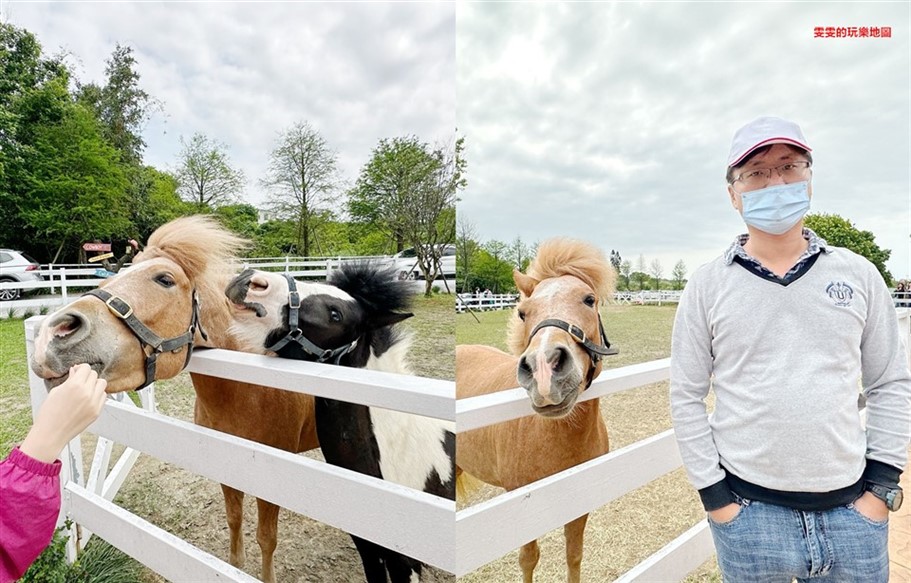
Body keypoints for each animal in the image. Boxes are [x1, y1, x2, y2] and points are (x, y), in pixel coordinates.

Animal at [28, 218, 318, 583]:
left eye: (164, 279)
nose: (54, 333)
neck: (250, 393)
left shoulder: (271, 484)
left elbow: (267, 539)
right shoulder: (228, 471)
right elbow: (234, 522)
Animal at [456, 237, 620, 583]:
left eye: (589, 300)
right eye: (522, 312)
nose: (545, 369)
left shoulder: (579, 506)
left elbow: (574, 556)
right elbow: (529, 559)